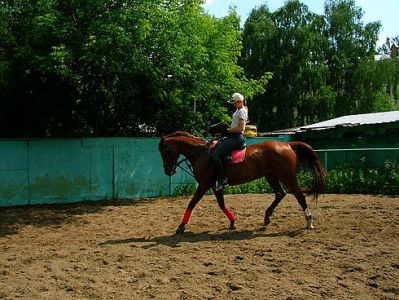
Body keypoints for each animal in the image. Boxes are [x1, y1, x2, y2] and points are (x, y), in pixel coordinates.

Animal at [158, 131, 326, 234]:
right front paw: (232, 222)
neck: (202, 154)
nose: (167, 171)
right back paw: (267, 217)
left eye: (164, 152)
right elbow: (221, 205)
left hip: (286, 177)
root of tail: (287, 145)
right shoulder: (215, 186)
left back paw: (309, 222)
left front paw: (181, 226)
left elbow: (192, 203)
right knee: (280, 193)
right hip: (271, 176)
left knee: (299, 196)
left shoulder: (204, 184)